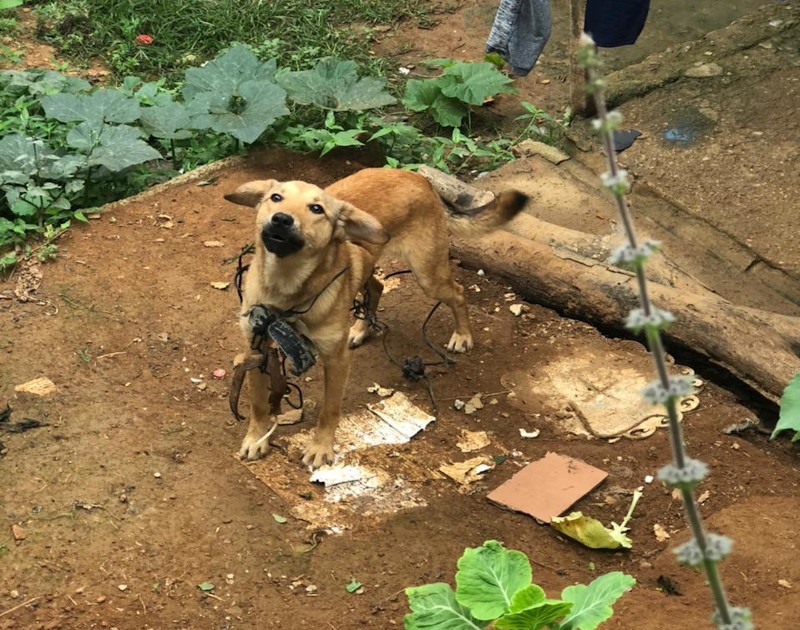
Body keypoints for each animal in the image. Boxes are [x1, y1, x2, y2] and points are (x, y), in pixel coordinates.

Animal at [222, 168, 528, 470]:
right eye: (276, 197)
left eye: (317, 208)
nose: (282, 219)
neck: (286, 287)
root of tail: (419, 178)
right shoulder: (256, 349)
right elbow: (258, 403)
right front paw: (257, 438)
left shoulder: (336, 360)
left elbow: (329, 409)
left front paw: (320, 448)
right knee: (377, 287)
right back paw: (360, 329)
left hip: (428, 275)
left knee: (459, 293)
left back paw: (462, 335)